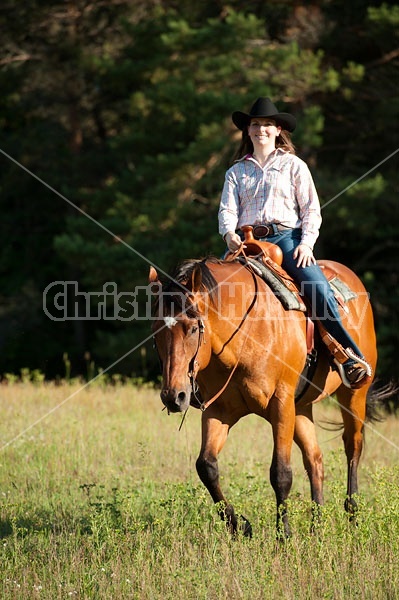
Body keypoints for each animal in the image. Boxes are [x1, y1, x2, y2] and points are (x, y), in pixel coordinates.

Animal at [150, 246, 382, 536]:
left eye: (193, 328)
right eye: (155, 332)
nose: (174, 396)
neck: (246, 335)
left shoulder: (280, 404)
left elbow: (281, 473)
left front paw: (284, 534)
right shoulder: (219, 410)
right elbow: (206, 466)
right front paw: (240, 526)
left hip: (353, 396)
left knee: (353, 448)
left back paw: (352, 516)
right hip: (302, 408)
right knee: (315, 460)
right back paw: (316, 526)